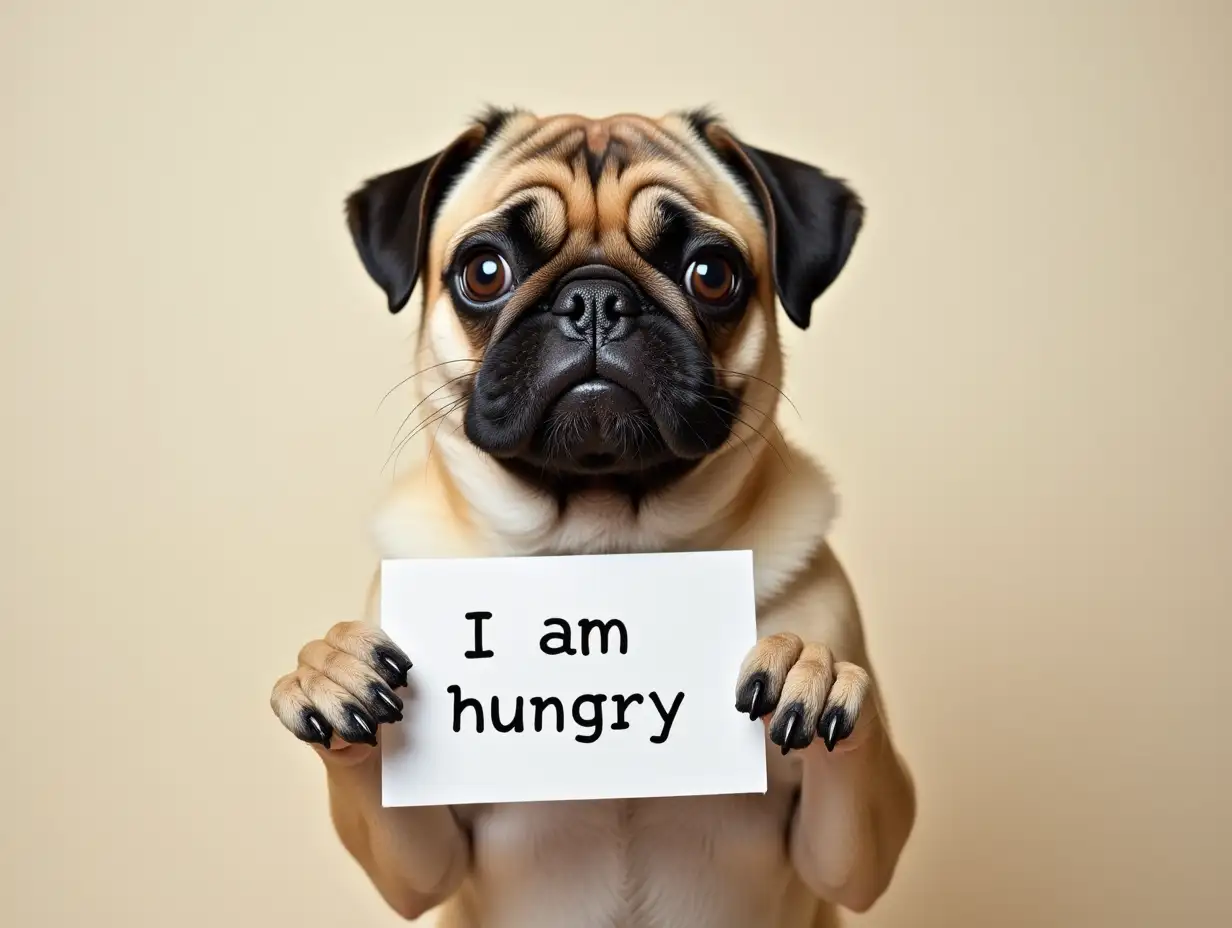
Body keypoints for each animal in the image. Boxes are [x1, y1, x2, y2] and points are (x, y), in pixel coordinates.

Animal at [274, 110, 921, 926]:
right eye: (484, 272)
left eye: (712, 275)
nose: (594, 301)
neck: (602, 545)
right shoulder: (422, 862)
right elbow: (408, 850)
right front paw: (330, 668)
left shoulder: (843, 855)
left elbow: (857, 803)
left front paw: (814, 667)